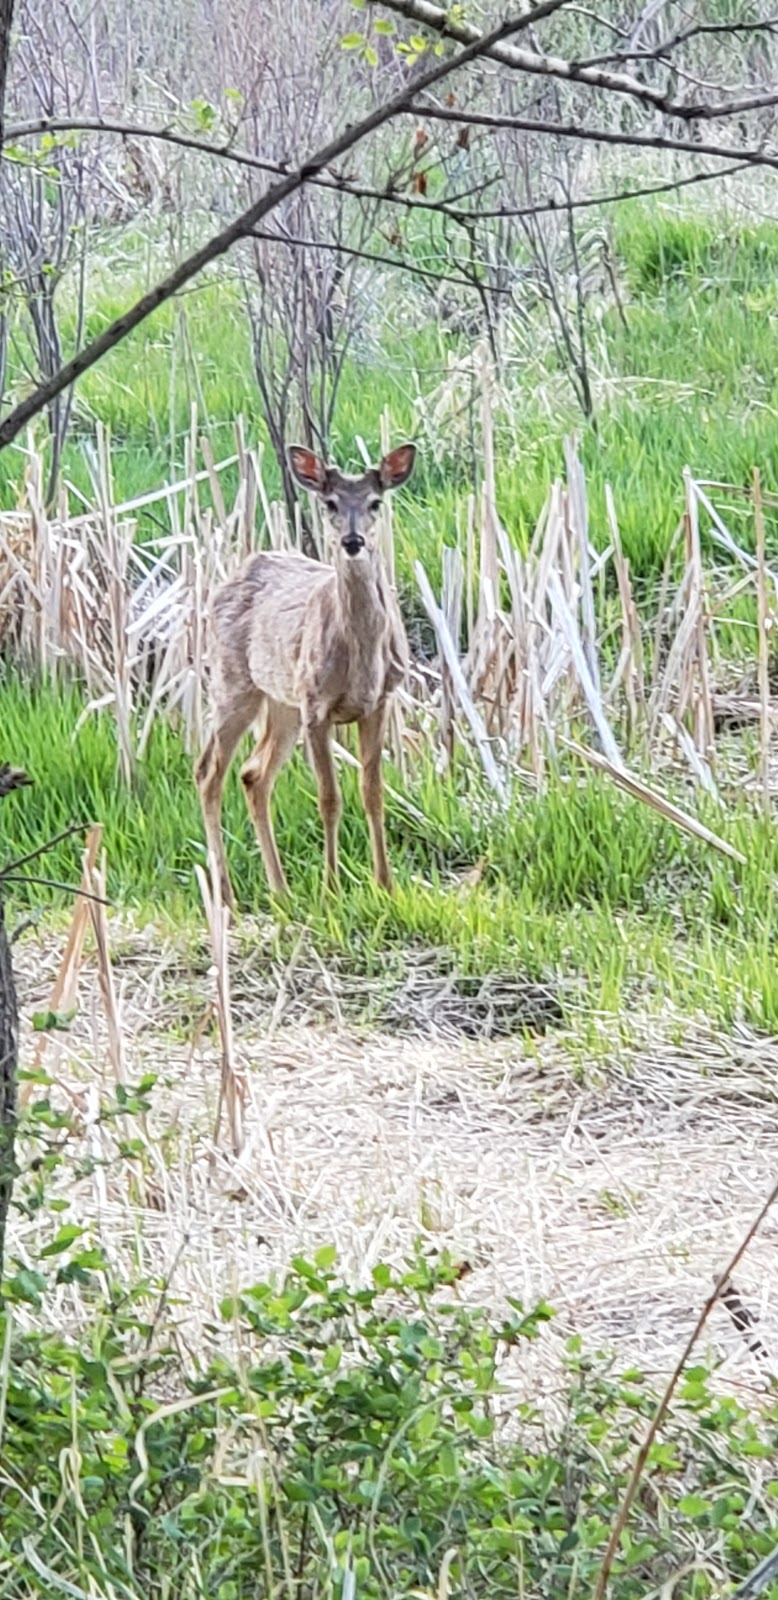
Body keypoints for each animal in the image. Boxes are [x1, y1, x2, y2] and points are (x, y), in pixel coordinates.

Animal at [194, 444, 416, 908]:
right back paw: (225, 895)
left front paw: (385, 885)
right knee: (208, 771)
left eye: (375, 502)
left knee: (253, 774)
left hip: (283, 702)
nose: (353, 541)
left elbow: (373, 792)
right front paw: (332, 887)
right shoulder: (317, 705)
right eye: (329, 503)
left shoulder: (380, 700)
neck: (360, 655)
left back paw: (280, 889)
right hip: (233, 684)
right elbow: (329, 797)